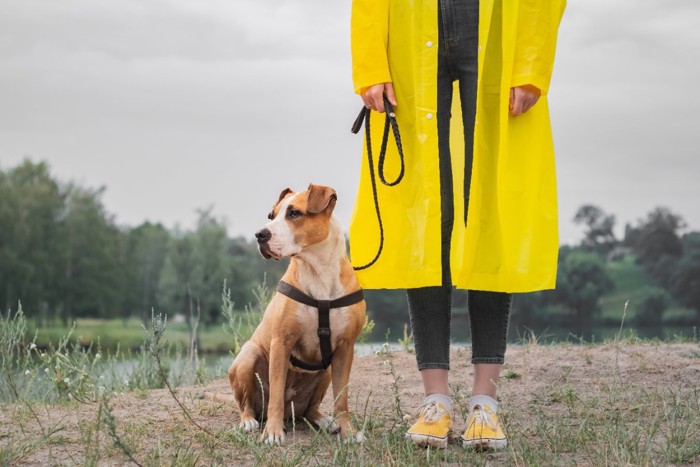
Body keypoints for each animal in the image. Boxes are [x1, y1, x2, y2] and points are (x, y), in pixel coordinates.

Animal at [230, 184, 370, 446]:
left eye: (294, 213)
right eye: (272, 216)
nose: (259, 234)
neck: (319, 271)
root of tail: (290, 411)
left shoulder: (345, 348)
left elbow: (342, 398)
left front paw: (347, 431)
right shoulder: (281, 342)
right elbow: (275, 393)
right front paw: (273, 433)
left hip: (325, 371)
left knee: (310, 410)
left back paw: (326, 421)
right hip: (249, 354)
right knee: (247, 403)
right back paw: (249, 421)